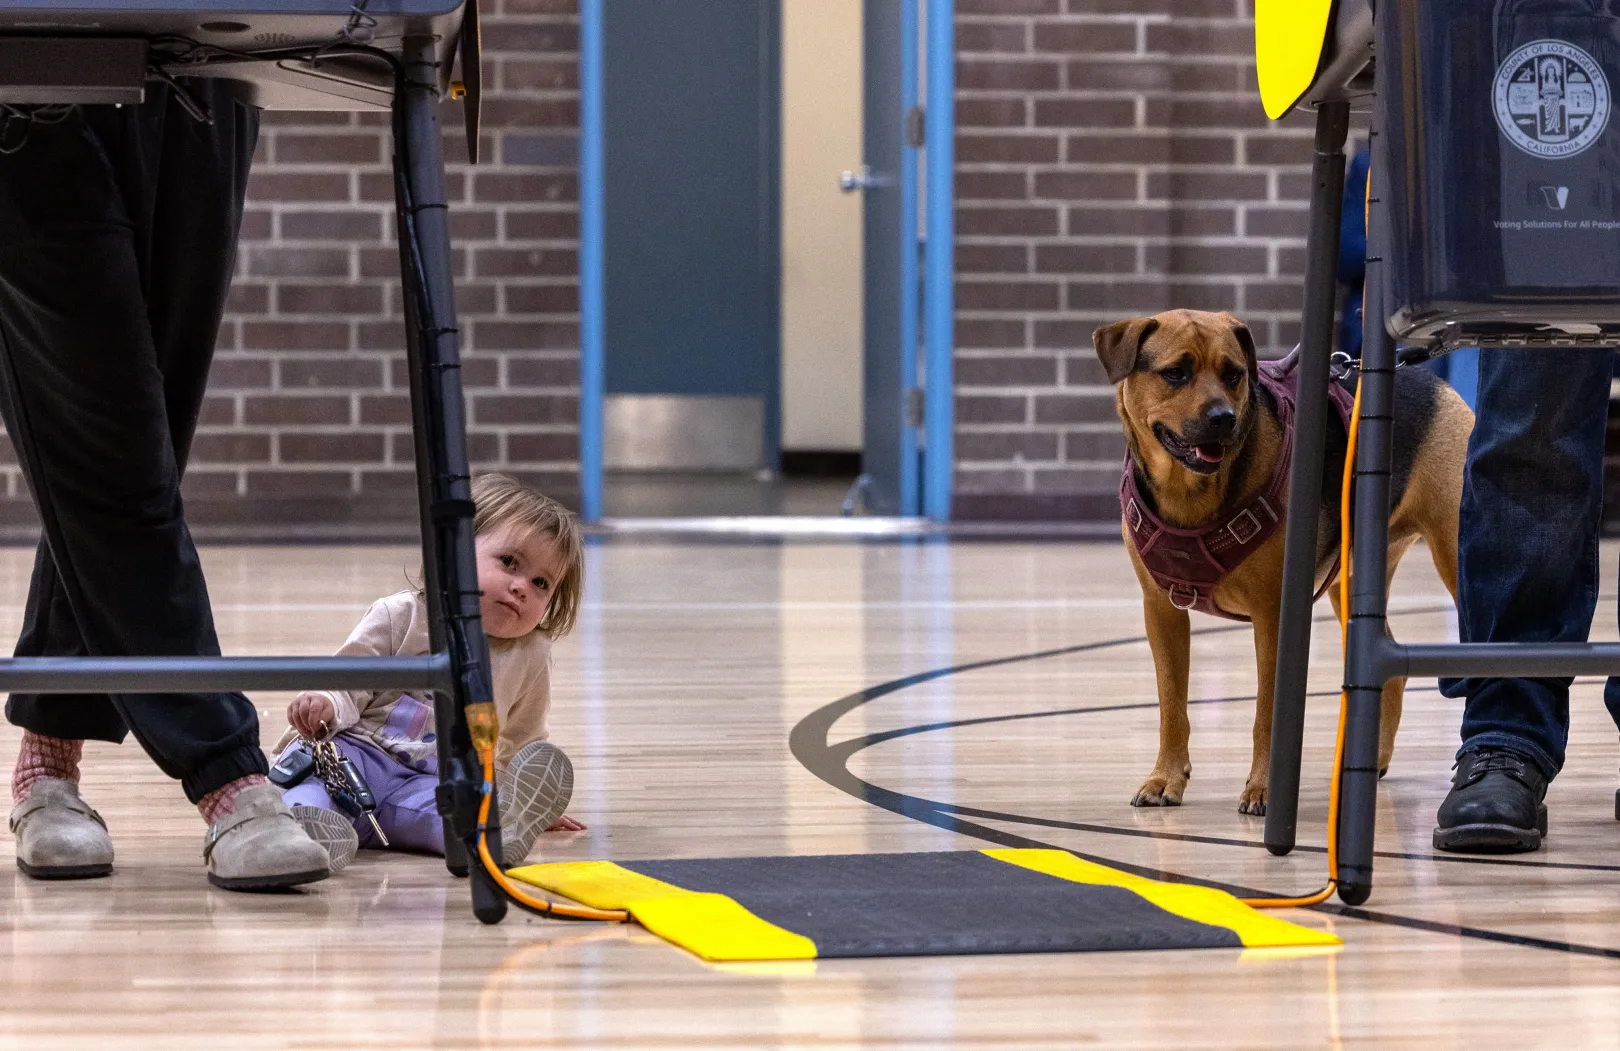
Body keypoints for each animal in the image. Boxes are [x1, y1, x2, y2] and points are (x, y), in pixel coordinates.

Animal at [1095, 307, 1477, 816]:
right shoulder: (1161, 612)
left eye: (1234, 374)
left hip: (1455, 557)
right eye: (1176, 373)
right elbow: (1172, 706)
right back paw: (1373, 760)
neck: (1192, 493)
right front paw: (1165, 778)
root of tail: (1435, 383)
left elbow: (1267, 715)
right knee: (1393, 674)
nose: (1222, 418)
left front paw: (1263, 789)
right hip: (1349, 584)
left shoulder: (1273, 616)